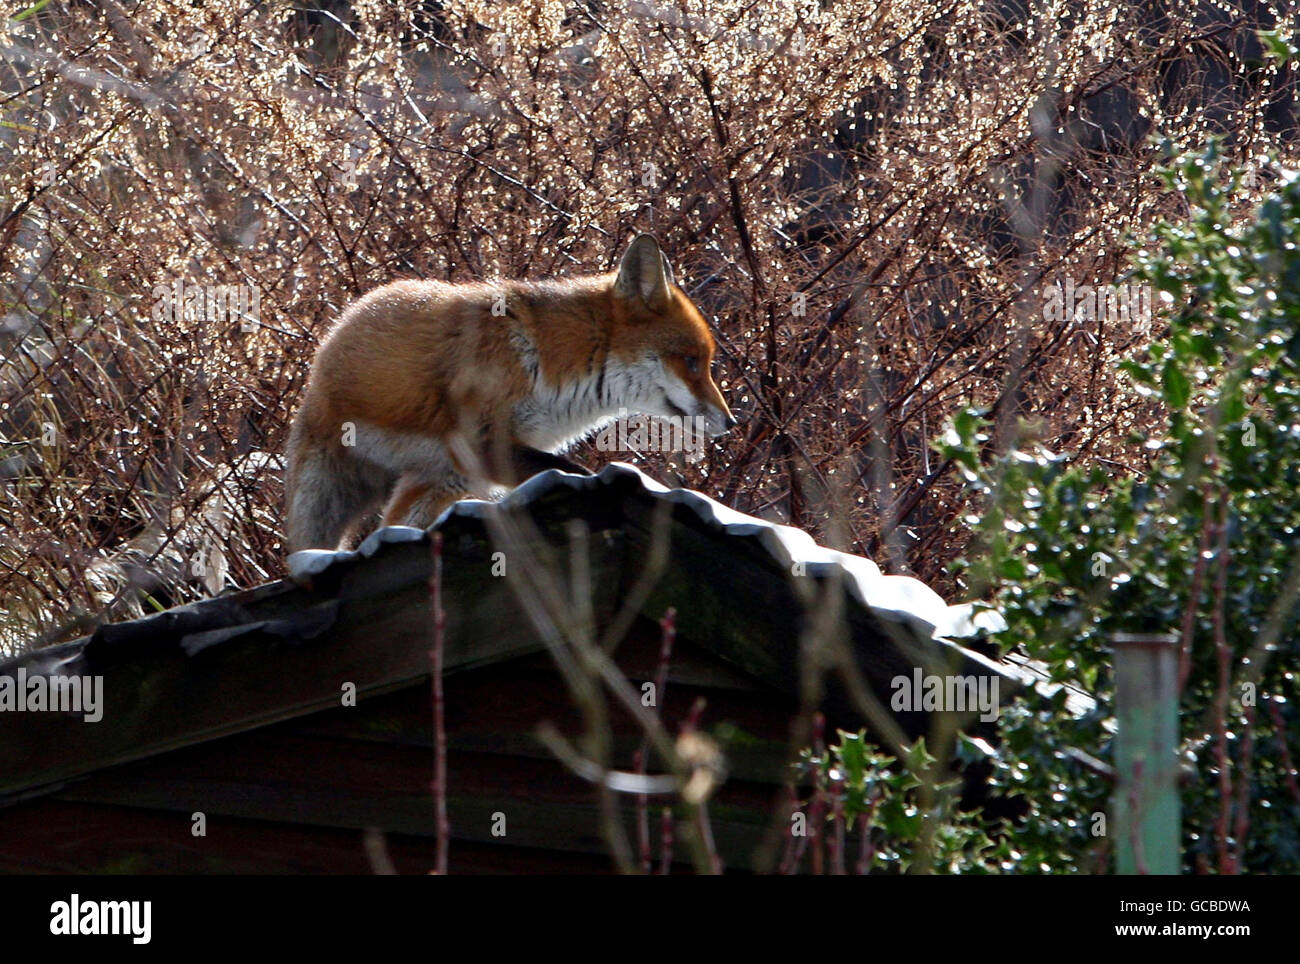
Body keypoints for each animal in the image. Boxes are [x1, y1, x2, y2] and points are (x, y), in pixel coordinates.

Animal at [284, 234, 737, 552]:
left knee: (390, 527)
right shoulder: (485, 443)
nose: (731, 422)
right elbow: (573, 472)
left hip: (438, 484)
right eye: (692, 362)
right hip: (321, 500)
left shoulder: (488, 458)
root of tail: (334, 333)